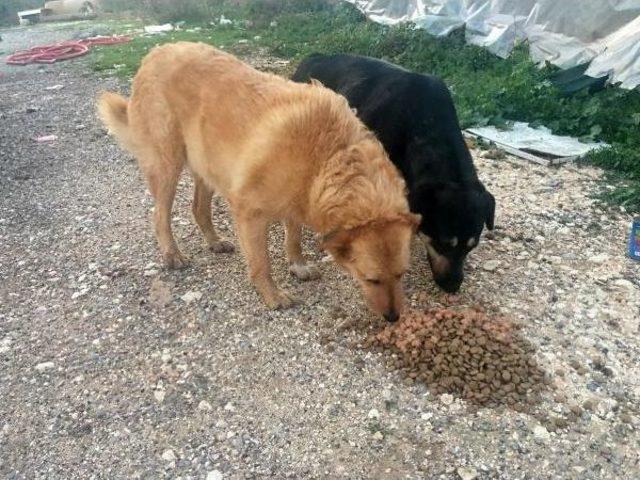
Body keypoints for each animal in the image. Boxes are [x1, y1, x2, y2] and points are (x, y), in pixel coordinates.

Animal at [97, 41, 420, 318]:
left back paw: (214, 242)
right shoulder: (250, 214)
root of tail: (155, 52)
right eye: (371, 279)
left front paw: (298, 266)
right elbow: (261, 263)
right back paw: (172, 253)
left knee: (198, 208)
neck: (329, 157)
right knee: (159, 215)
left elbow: (294, 237)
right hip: (168, 163)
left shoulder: (298, 201)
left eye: (401, 274)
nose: (394, 318)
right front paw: (272, 296)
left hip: (207, 165)